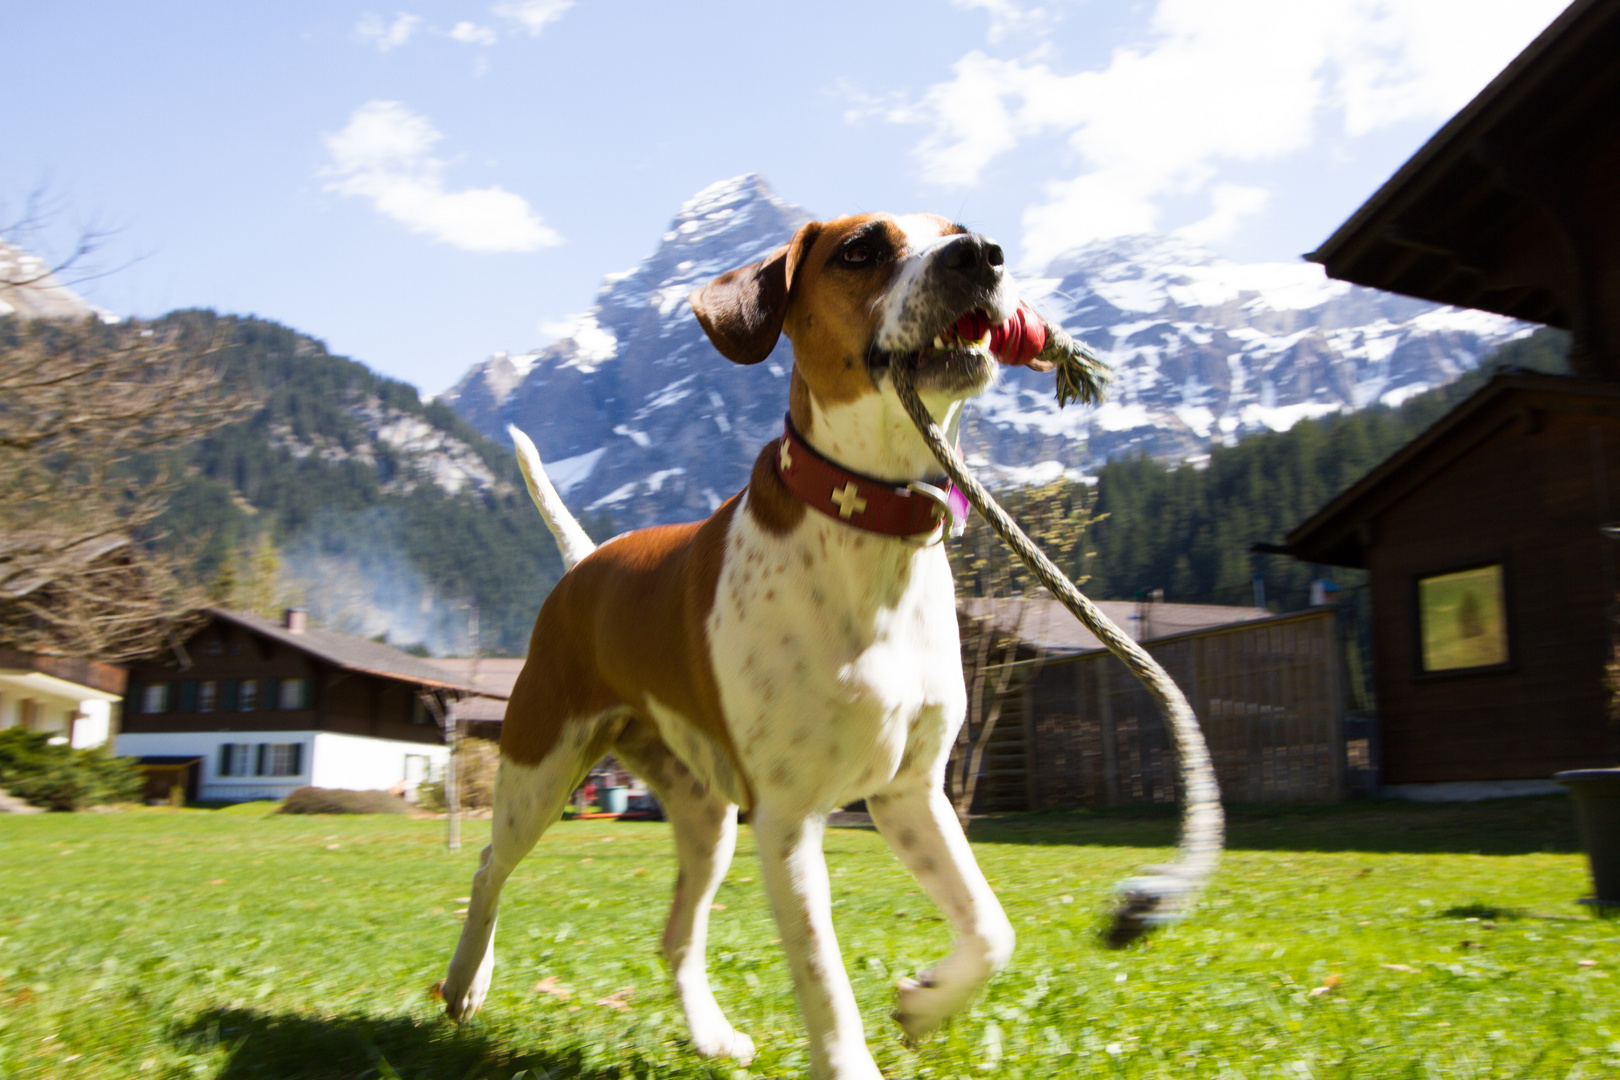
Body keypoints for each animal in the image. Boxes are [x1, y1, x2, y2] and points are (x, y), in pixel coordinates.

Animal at [440, 213, 1049, 1080]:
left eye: (956, 229)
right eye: (861, 249)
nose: (981, 255)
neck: (866, 525)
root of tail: (584, 561)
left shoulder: (912, 793)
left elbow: (993, 928)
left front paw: (926, 1002)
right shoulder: (789, 820)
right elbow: (824, 979)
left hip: (707, 818)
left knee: (675, 936)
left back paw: (711, 1036)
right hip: (542, 770)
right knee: (490, 865)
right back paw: (466, 981)